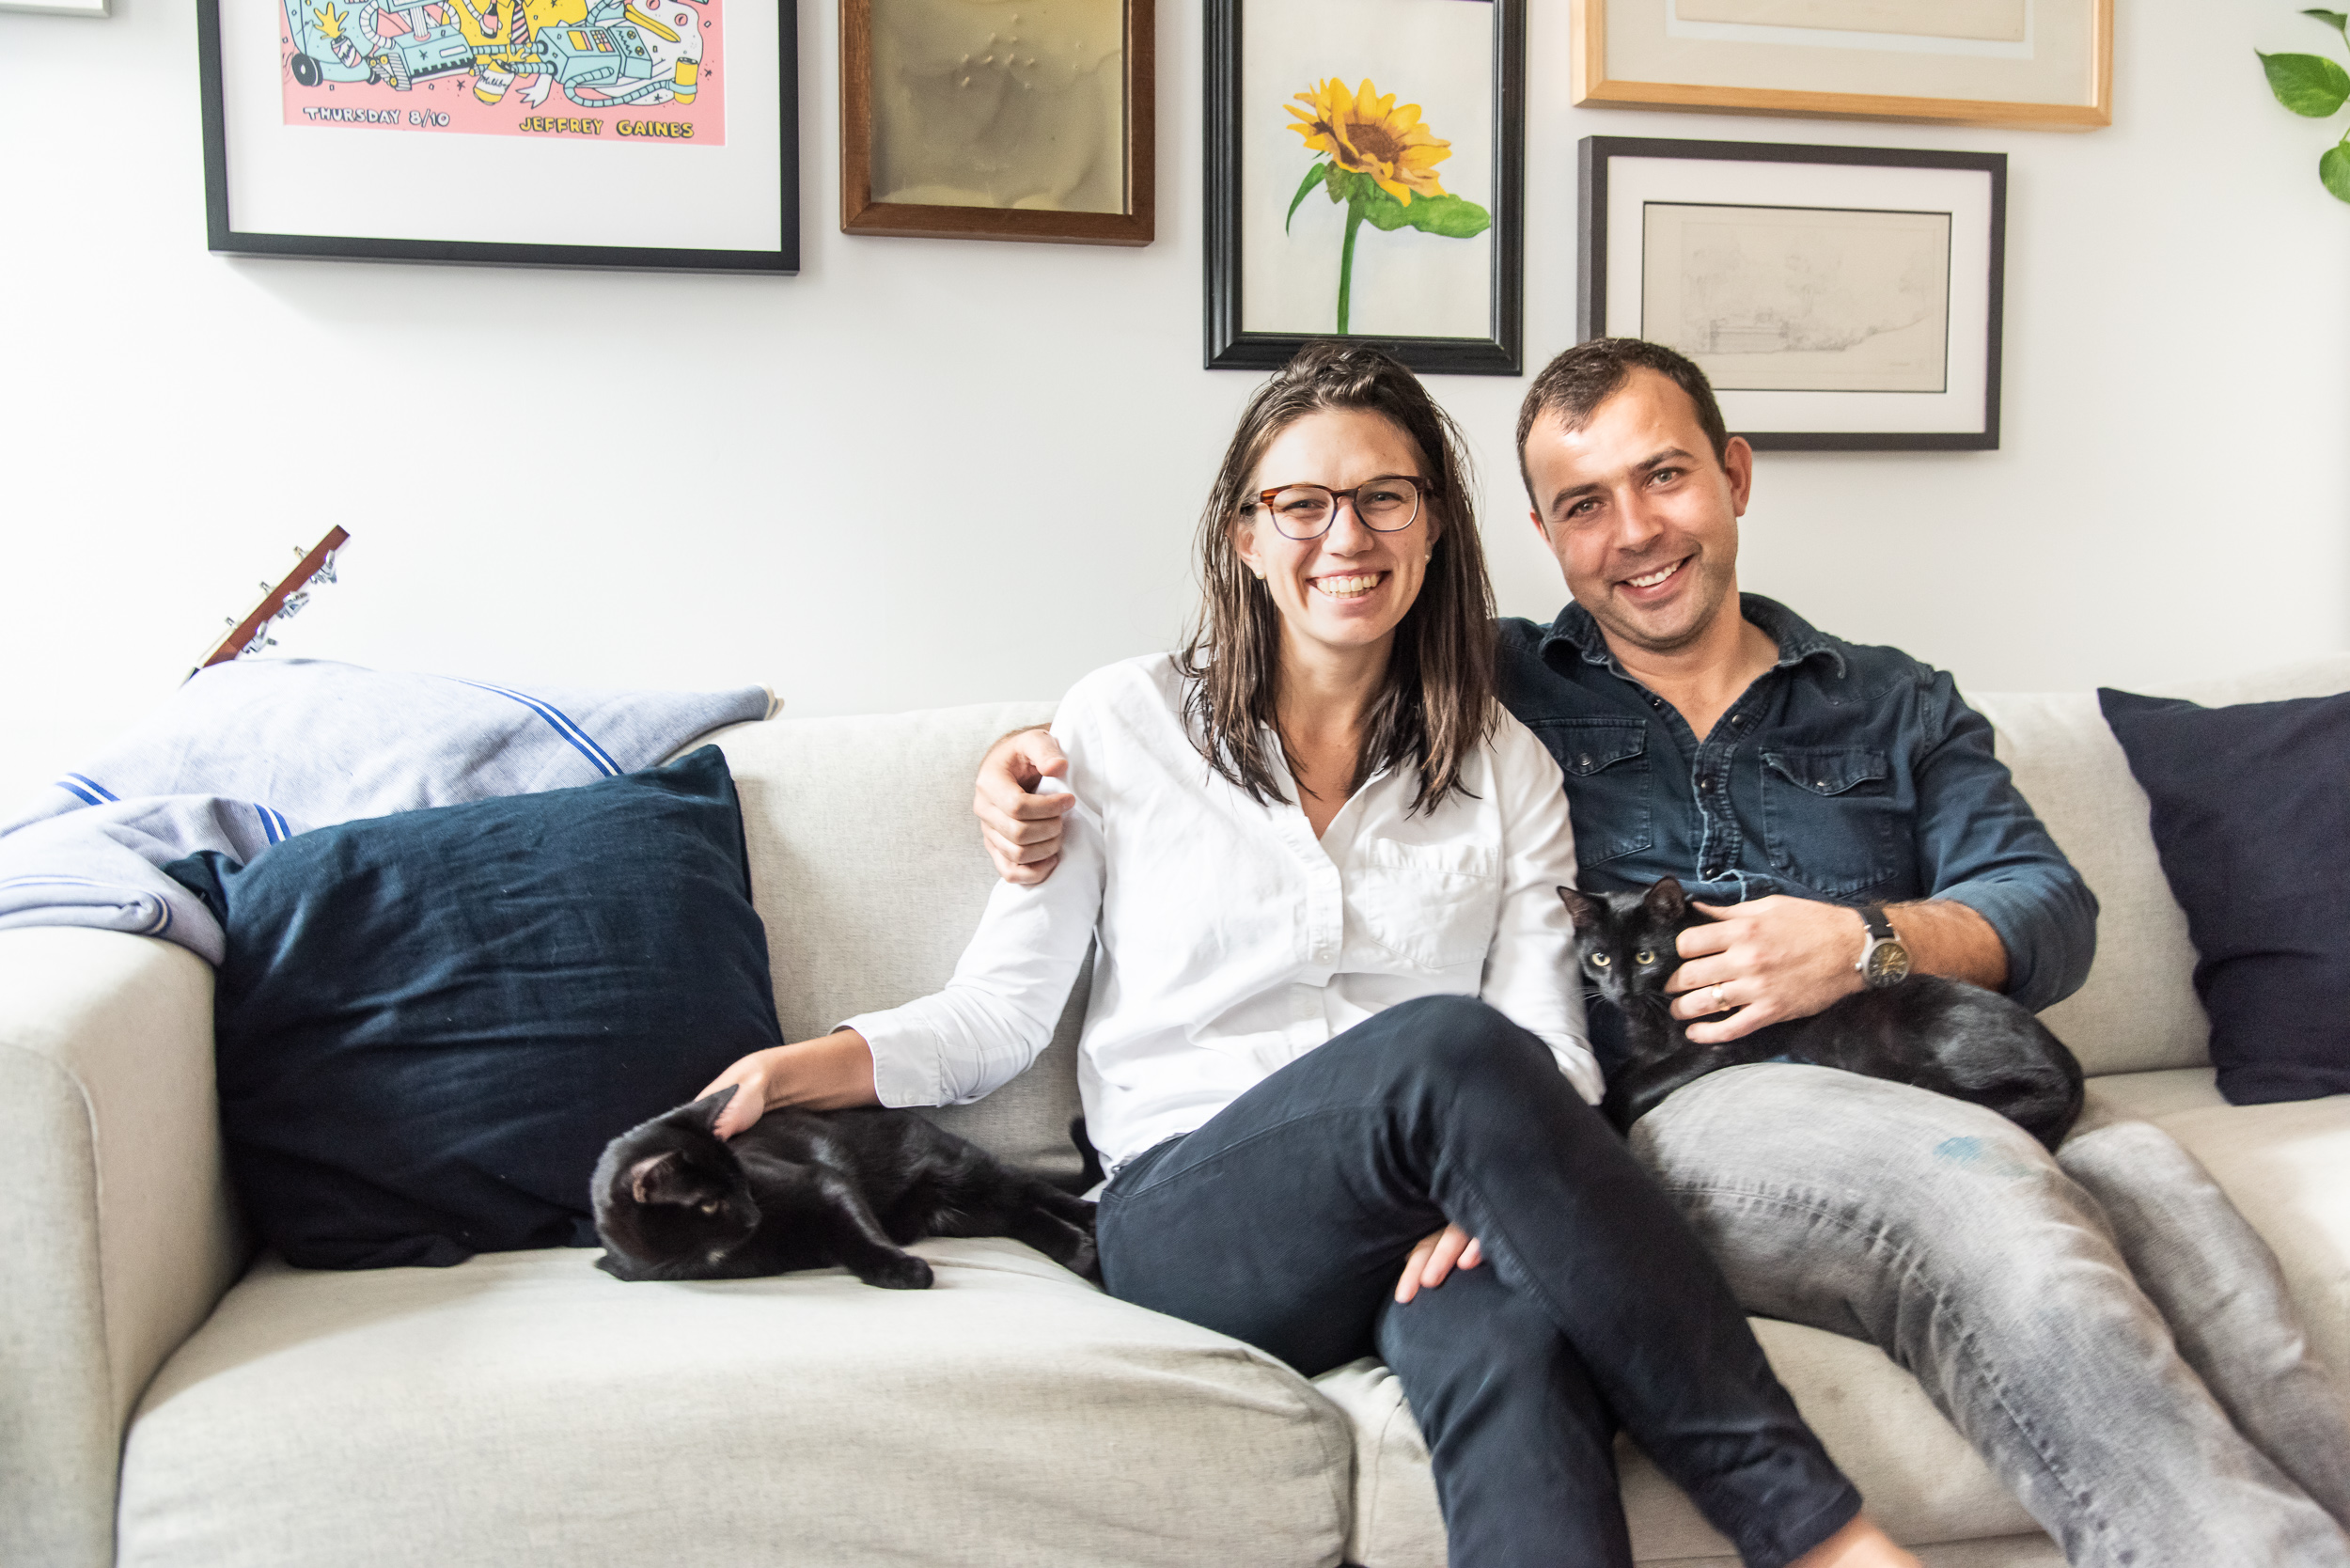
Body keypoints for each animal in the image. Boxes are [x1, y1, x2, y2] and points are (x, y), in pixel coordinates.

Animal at [592, 1086, 1095, 1297]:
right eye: (711, 1203)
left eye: (742, 1180)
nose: (753, 1214)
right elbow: (842, 1243)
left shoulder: (824, 1182)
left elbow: (857, 1233)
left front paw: (900, 1269)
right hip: (967, 1214)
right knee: (1022, 1215)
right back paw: (1076, 1249)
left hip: (962, 1172)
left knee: (1035, 1190)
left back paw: (1087, 1227)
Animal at [1570, 879, 2087, 1147]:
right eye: (1600, 959)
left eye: (1645, 957)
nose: (1620, 991)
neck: (1653, 1014)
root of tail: (2074, 1070)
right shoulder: (1648, 1050)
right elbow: (1625, 1074)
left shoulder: (1716, 1044)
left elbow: (1637, 1087)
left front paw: (1613, 1119)